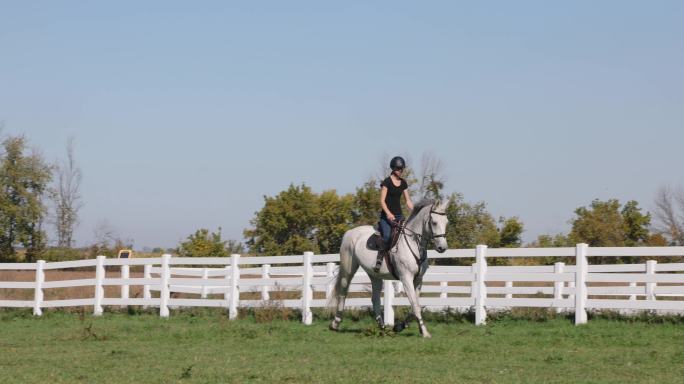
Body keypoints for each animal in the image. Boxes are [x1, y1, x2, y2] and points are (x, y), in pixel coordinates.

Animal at [330, 200, 452, 338]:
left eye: (446, 222)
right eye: (434, 222)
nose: (442, 248)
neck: (414, 243)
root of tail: (349, 232)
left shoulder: (418, 280)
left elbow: (414, 305)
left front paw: (400, 327)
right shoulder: (406, 279)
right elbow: (415, 305)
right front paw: (425, 332)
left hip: (374, 275)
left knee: (375, 299)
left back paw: (382, 327)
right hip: (348, 270)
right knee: (343, 292)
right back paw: (335, 323)